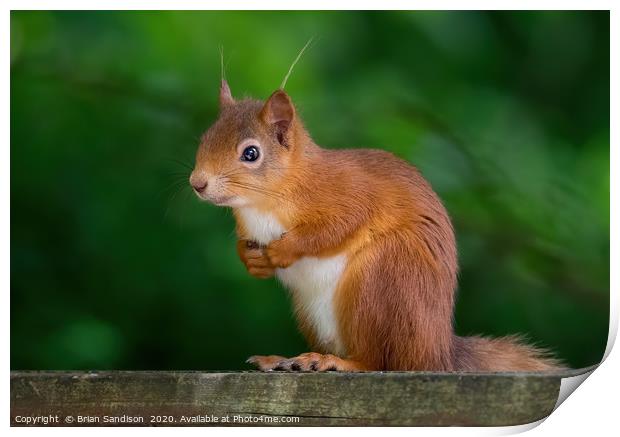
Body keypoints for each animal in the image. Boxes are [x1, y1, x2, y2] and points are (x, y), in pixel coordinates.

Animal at [189, 79, 560, 372]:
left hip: (381, 278)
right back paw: (284, 359)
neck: (261, 204)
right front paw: (252, 260)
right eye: (204, 139)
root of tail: (437, 352)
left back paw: (333, 362)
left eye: (250, 153)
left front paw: (284, 250)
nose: (197, 183)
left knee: (377, 361)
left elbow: (337, 227)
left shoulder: (350, 194)